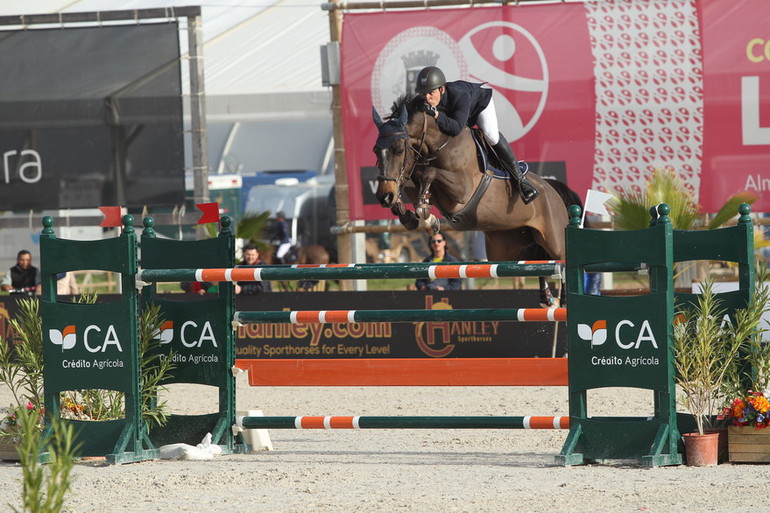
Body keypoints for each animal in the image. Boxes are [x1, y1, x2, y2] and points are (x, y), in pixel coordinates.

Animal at [372, 94, 576, 306]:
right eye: (376, 150)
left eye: (398, 150)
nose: (383, 197)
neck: (439, 144)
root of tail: (552, 189)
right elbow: (412, 183)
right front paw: (412, 216)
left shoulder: (461, 191)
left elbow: (429, 173)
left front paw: (426, 215)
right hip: (508, 245)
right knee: (537, 261)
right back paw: (547, 297)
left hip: (553, 239)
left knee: (559, 259)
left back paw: (563, 300)